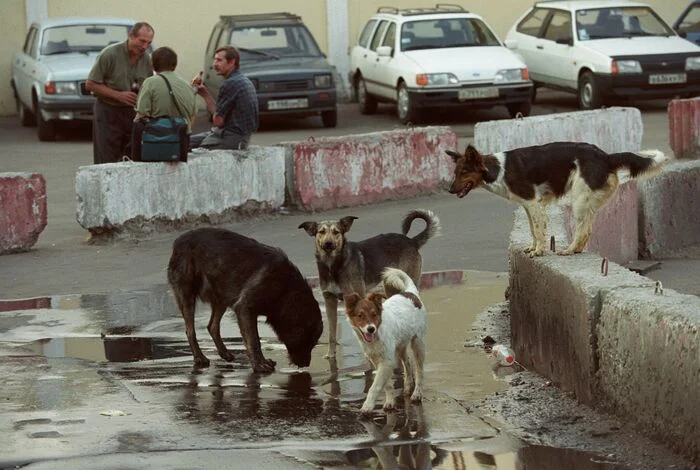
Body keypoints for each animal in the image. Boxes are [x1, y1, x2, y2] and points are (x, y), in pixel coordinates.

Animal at [168, 229, 324, 374]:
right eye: (308, 341)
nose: (306, 364)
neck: (286, 289)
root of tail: (178, 241)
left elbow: (254, 339)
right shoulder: (245, 309)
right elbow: (254, 341)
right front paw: (259, 365)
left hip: (222, 295)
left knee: (212, 326)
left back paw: (224, 353)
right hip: (188, 296)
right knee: (190, 330)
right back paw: (199, 357)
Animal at [298, 207, 440, 358]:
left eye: (336, 232)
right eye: (321, 232)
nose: (328, 244)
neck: (333, 265)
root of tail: (411, 241)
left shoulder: (358, 296)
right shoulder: (329, 299)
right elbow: (331, 333)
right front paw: (331, 354)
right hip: (390, 285)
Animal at [344, 268, 426, 414]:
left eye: (374, 314)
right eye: (360, 315)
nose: (370, 329)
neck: (377, 335)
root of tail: (410, 293)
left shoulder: (386, 361)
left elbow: (375, 386)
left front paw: (367, 406)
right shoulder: (379, 361)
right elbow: (386, 384)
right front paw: (390, 402)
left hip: (418, 343)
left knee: (419, 370)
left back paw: (417, 393)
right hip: (400, 346)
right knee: (407, 364)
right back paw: (407, 387)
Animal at [448, 142, 668, 258]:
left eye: (464, 172)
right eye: (455, 173)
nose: (449, 190)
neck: (498, 170)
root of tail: (606, 157)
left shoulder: (533, 203)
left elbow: (538, 231)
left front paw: (538, 251)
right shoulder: (528, 206)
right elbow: (533, 230)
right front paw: (533, 248)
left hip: (578, 199)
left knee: (583, 230)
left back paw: (568, 250)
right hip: (586, 202)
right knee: (587, 230)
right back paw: (576, 250)